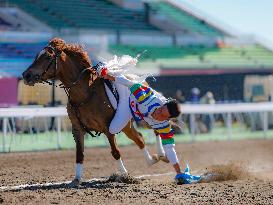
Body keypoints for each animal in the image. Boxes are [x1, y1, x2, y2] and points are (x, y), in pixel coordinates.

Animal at [22, 37, 160, 187]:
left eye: (47, 57)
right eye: (36, 56)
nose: (26, 75)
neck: (86, 93)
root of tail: (140, 81)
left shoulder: (108, 127)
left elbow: (115, 152)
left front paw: (124, 175)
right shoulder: (77, 128)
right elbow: (79, 154)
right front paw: (76, 179)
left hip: (145, 116)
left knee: (156, 130)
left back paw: (161, 155)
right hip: (125, 124)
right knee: (139, 138)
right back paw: (152, 160)